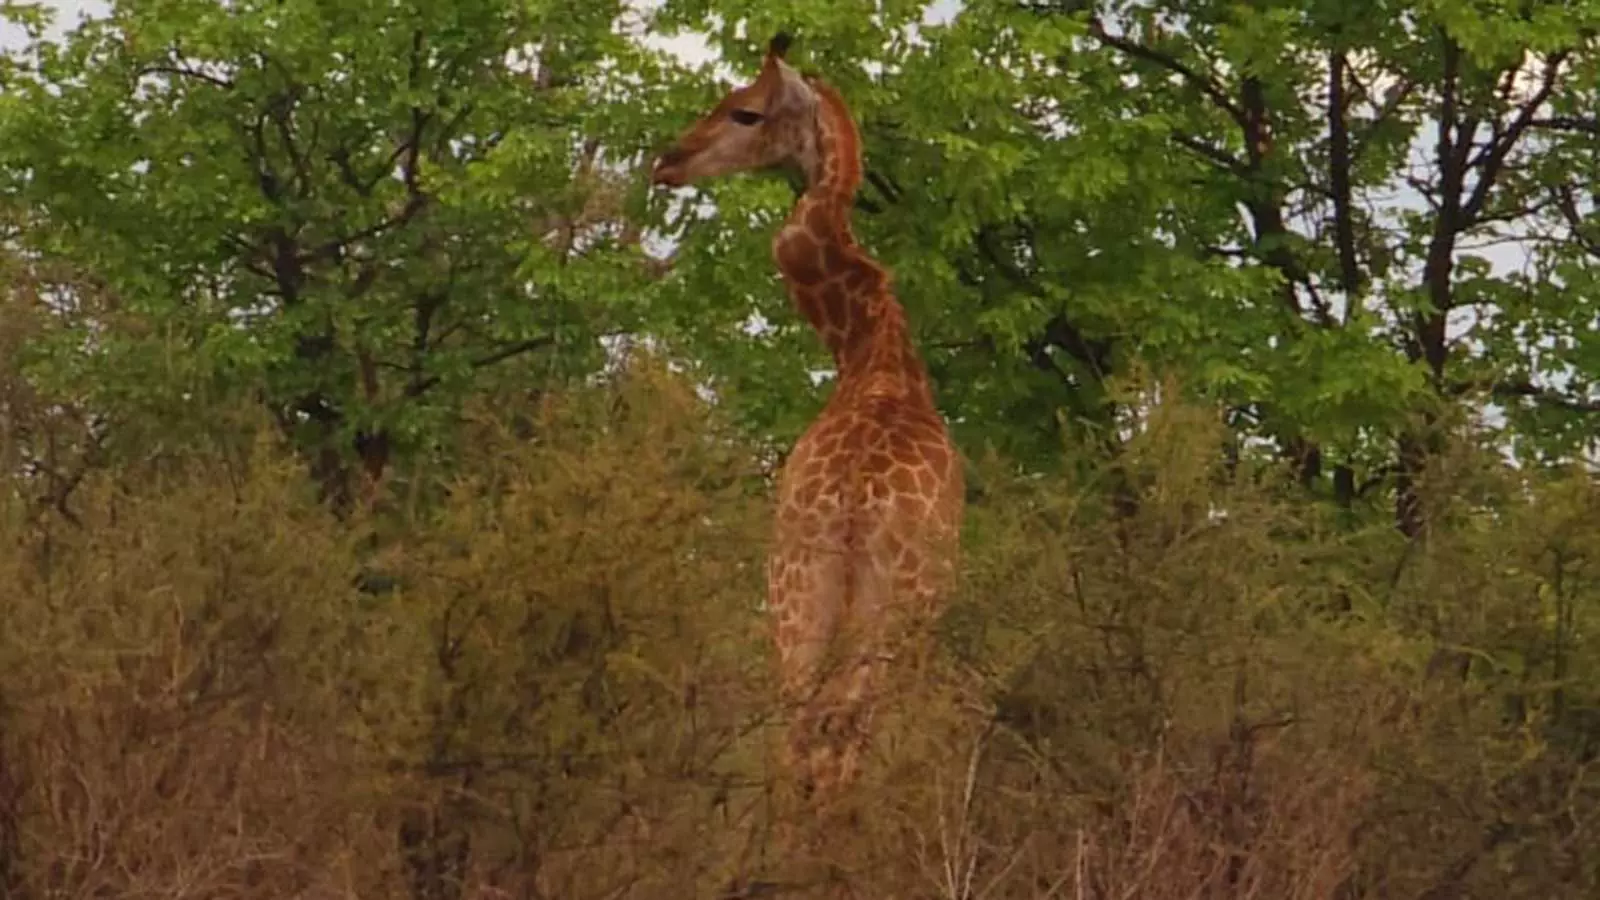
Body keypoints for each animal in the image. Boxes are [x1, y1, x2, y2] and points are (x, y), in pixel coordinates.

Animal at [649, 31, 960, 832]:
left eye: (745, 111)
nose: (667, 161)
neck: (868, 350)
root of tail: (852, 506)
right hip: (889, 612)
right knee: (841, 743)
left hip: (795, 599)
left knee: (800, 741)